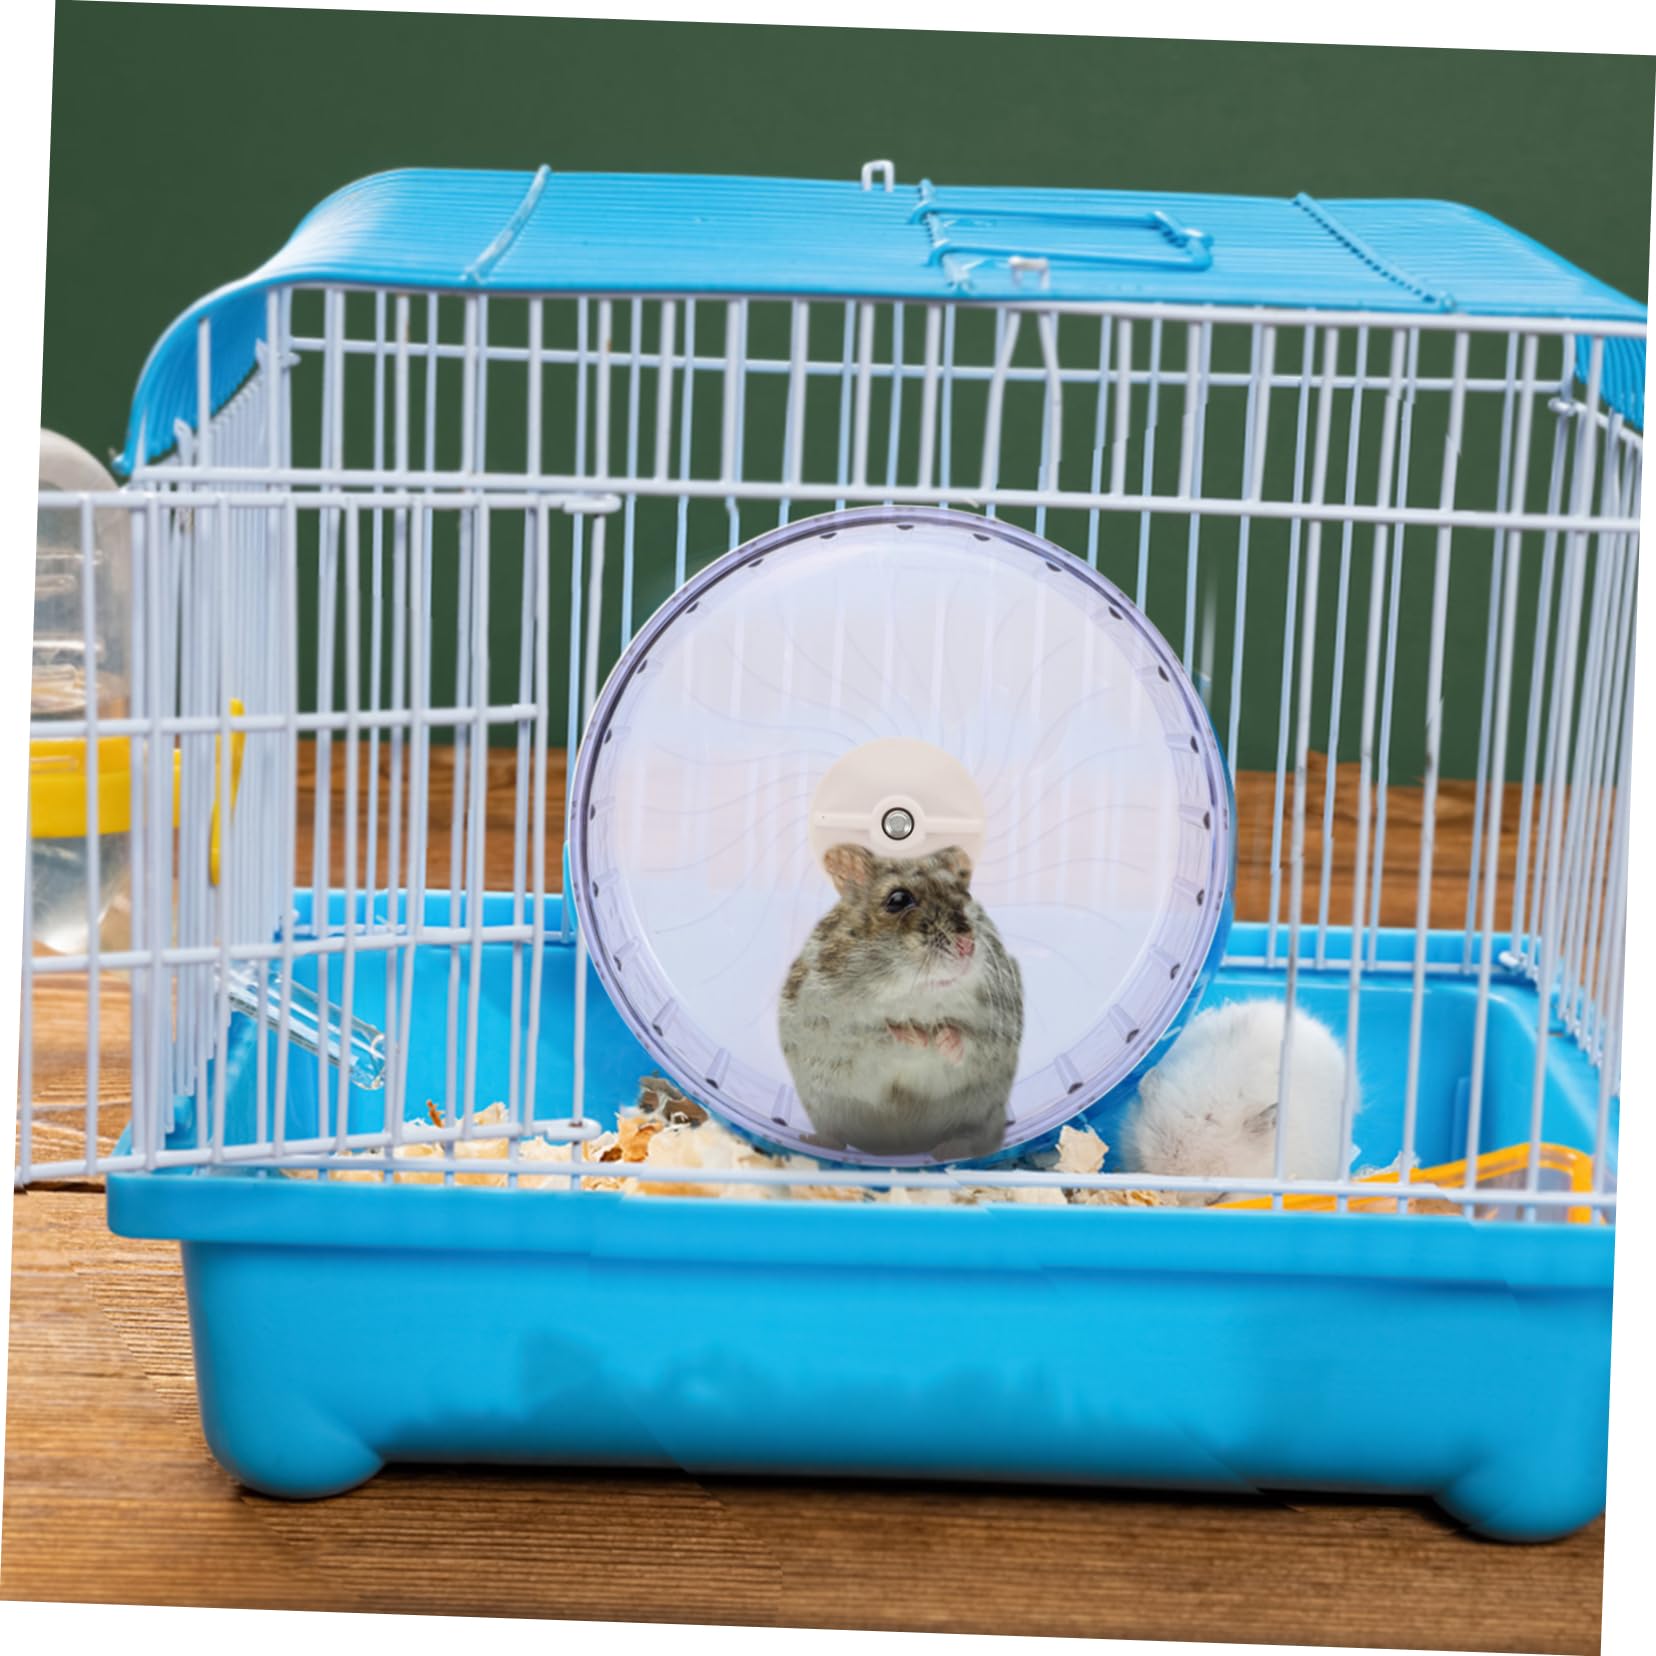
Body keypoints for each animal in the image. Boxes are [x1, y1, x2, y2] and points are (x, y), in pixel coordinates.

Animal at [778, 843, 1024, 1162]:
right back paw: (815, 1142)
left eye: (965, 894)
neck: (915, 991)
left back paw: (950, 1149)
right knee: (836, 1136)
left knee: (972, 1136)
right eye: (898, 900)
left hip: (983, 1112)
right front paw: (915, 1034)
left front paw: (942, 1037)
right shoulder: (834, 1023)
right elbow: (880, 1032)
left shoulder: (996, 1022)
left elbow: (967, 1039)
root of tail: (904, 1149)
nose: (967, 945)